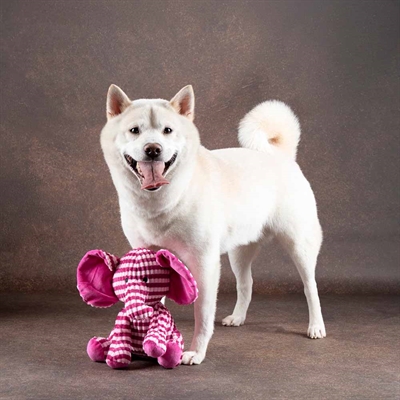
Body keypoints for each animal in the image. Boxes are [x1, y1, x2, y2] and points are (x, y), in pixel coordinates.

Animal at [100, 84, 326, 365]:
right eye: (134, 131)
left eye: (167, 130)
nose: (153, 149)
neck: (167, 199)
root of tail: (281, 157)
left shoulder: (204, 263)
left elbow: (203, 314)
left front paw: (196, 352)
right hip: (239, 253)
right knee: (246, 284)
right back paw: (238, 317)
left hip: (299, 245)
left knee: (310, 287)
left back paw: (316, 327)